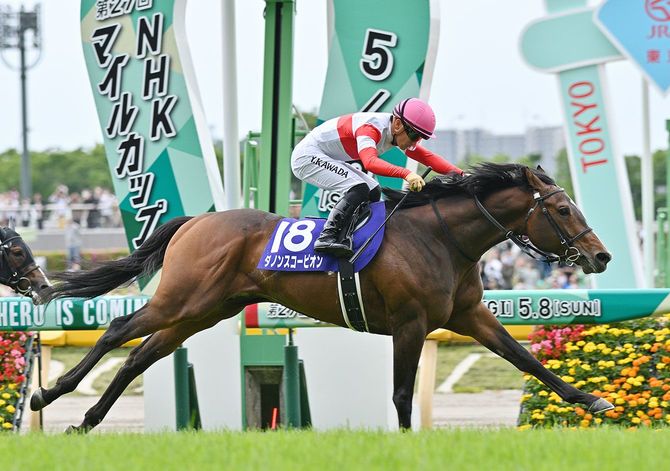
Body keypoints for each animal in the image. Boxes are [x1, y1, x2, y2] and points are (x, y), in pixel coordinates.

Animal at [31, 163, 613, 432]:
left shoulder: (468, 316)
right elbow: (402, 393)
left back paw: (86, 420)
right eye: (563, 209)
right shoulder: (411, 323)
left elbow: (526, 360)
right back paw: (50, 396)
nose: (602, 256)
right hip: (182, 299)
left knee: (138, 356)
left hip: (203, 311)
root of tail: (196, 221)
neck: (442, 238)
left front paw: (591, 399)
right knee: (115, 331)